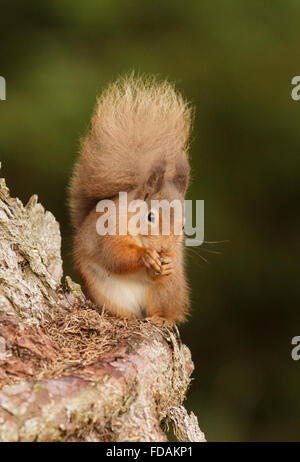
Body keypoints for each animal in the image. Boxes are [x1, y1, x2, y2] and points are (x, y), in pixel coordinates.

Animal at [68, 74, 192, 324]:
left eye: (183, 225)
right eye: (150, 216)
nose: (164, 248)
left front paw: (168, 261)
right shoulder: (108, 230)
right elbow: (115, 255)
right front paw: (146, 257)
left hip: (168, 290)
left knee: (167, 310)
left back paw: (161, 318)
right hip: (104, 290)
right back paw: (122, 317)